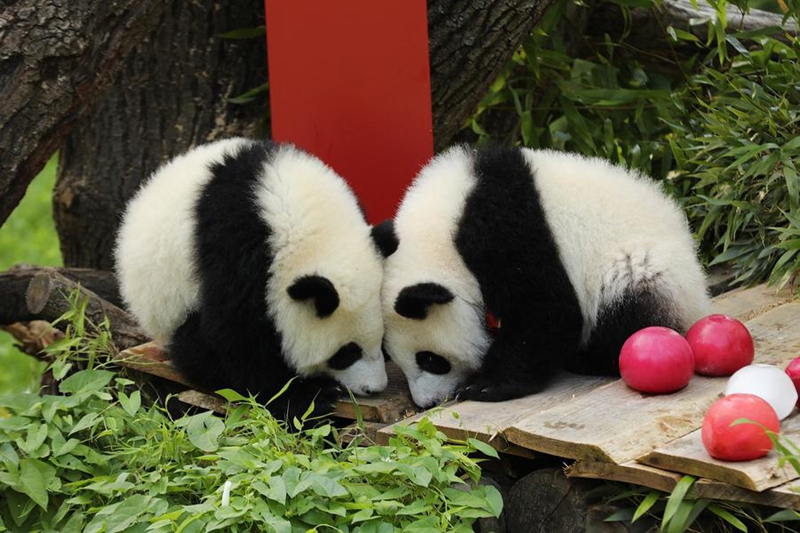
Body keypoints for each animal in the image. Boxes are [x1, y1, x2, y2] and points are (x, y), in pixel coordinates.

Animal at [115, 138, 388, 420]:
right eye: (347, 352)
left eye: (383, 339)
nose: (374, 388)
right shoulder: (237, 248)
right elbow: (236, 331)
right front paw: (307, 397)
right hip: (170, 304)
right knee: (192, 346)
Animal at [380, 145, 711, 409]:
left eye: (430, 359)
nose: (427, 403)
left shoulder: (506, 230)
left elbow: (546, 309)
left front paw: (487, 385)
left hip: (644, 267)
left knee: (628, 304)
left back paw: (588, 359)